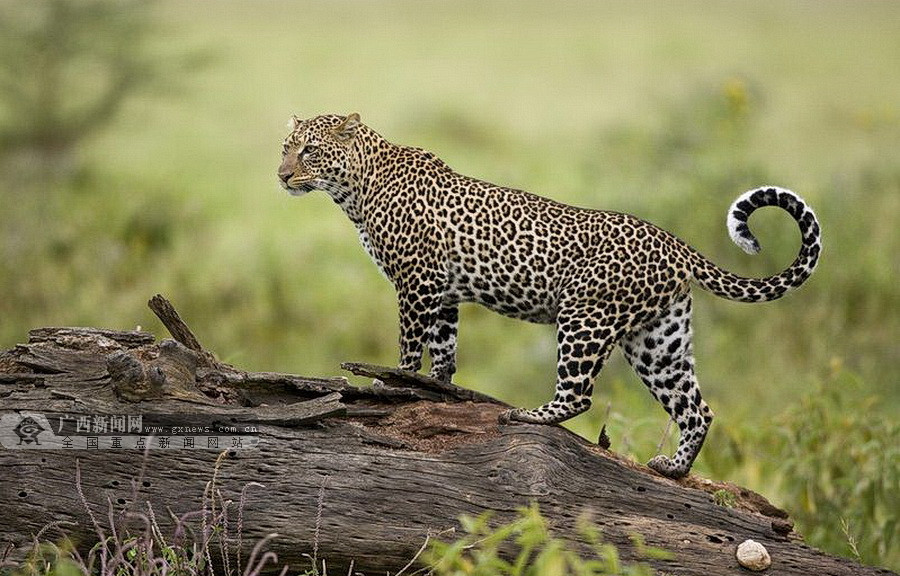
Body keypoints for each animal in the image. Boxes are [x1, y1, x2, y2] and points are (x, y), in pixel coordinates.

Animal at [276, 111, 824, 476]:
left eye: (309, 151)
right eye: (284, 147)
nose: (281, 175)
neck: (354, 189)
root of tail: (674, 242)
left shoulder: (417, 283)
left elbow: (410, 347)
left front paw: (389, 386)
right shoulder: (445, 293)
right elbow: (444, 351)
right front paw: (436, 389)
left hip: (584, 316)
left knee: (579, 395)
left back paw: (529, 414)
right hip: (658, 341)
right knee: (696, 408)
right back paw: (674, 468)